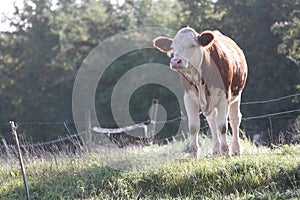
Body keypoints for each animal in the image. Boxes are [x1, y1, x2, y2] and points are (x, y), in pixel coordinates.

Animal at [154, 27, 247, 158]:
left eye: (193, 45)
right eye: (173, 47)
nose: (175, 61)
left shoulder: (224, 97)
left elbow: (222, 125)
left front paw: (226, 151)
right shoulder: (188, 97)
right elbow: (194, 126)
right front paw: (193, 153)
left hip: (236, 96)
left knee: (234, 119)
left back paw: (235, 149)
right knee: (212, 121)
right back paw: (216, 150)